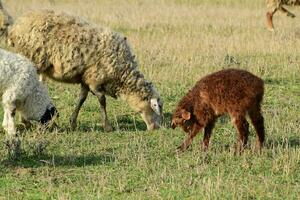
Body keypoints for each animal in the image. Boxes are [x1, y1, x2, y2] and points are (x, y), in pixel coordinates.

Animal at [0, 3, 163, 131]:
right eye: (156, 107)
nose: (156, 128)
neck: (122, 73)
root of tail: (16, 26)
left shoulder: (85, 78)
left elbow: (81, 99)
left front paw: (73, 122)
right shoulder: (95, 79)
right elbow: (102, 100)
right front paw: (107, 126)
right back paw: (24, 121)